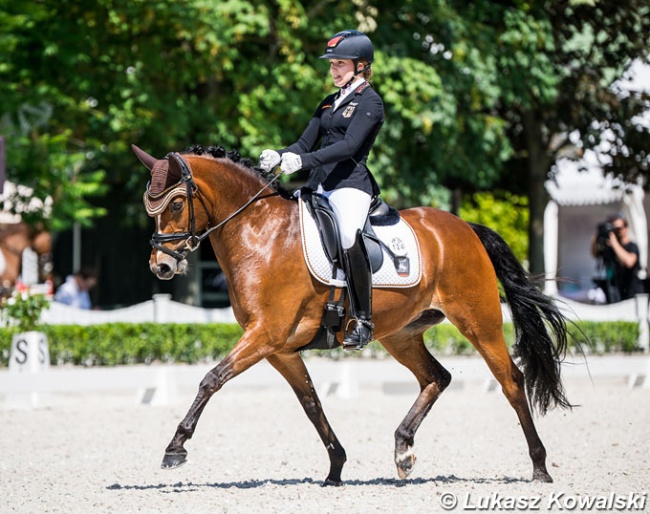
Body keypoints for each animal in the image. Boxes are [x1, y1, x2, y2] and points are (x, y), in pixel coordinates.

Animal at [133, 142, 572, 482]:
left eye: (176, 203)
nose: (161, 266)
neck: (260, 233)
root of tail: (464, 227)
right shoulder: (280, 349)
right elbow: (311, 403)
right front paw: (336, 467)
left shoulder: (265, 334)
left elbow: (211, 379)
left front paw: (175, 447)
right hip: (400, 334)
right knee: (437, 377)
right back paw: (403, 450)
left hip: (479, 322)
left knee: (511, 381)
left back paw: (539, 467)